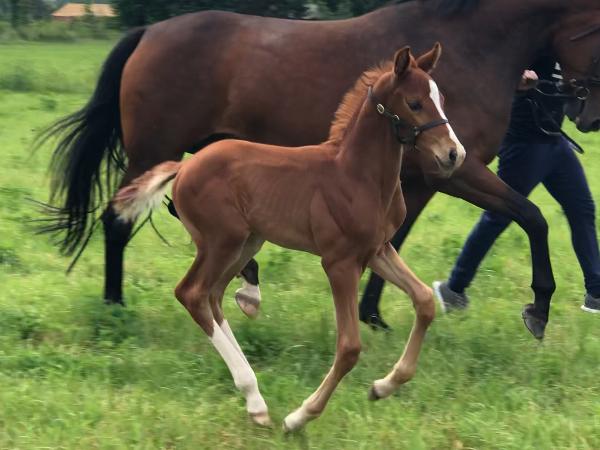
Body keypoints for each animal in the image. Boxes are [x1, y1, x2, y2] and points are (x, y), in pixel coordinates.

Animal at [42, 0, 600, 340]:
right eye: (596, 31)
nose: (586, 114)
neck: (473, 46)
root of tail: (147, 34)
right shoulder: (455, 169)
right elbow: (532, 216)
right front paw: (538, 309)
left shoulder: (423, 177)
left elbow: (398, 240)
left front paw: (374, 316)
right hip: (155, 152)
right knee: (118, 220)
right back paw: (115, 307)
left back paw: (246, 279)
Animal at [111, 45, 464, 431]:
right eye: (415, 103)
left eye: (442, 99)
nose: (454, 154)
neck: (357, 175)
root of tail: (184, 166)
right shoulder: (339, 262)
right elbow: (349, 346)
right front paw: (300, 417)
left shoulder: (377, 250)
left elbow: (424, 301)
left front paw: (382, 387)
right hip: (221, 241)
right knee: (191, 293)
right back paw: (254, 396)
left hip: (247, 242)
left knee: (212, 297)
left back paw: (254, 395)